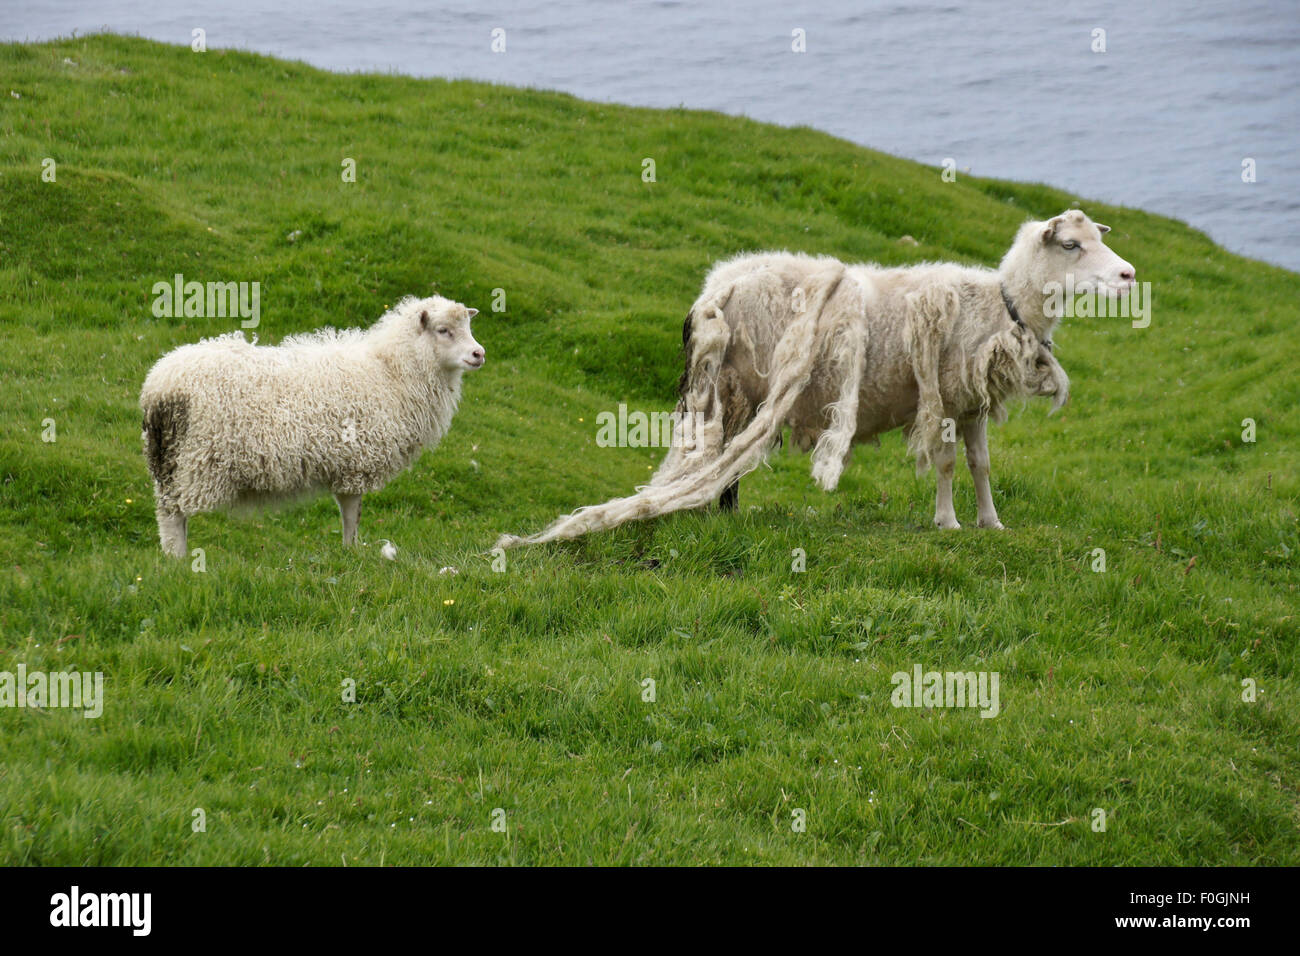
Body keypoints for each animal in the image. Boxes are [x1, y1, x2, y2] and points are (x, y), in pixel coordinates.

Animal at [142, 295, 486, 556]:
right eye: (443, 330)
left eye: (467, 326)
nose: (478, 354)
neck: (390, 371)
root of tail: (160, 384)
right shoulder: (356, 462)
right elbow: (352, 513)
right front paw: (351, 552)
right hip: (195, 462)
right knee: (173, 515)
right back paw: (177, 560)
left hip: (169, 461)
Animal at [499, 212, 1138, 548]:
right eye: (1073, 244)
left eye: (1099, 239)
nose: (1130, 275)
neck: (1002, 303)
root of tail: (714, 291)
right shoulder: (942, 399)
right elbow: (947, 464)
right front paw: (948, 523)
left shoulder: (972, 402)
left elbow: (981, 465)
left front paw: (991, 523)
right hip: (740, 384)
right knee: (725, 458)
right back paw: (723, 514)